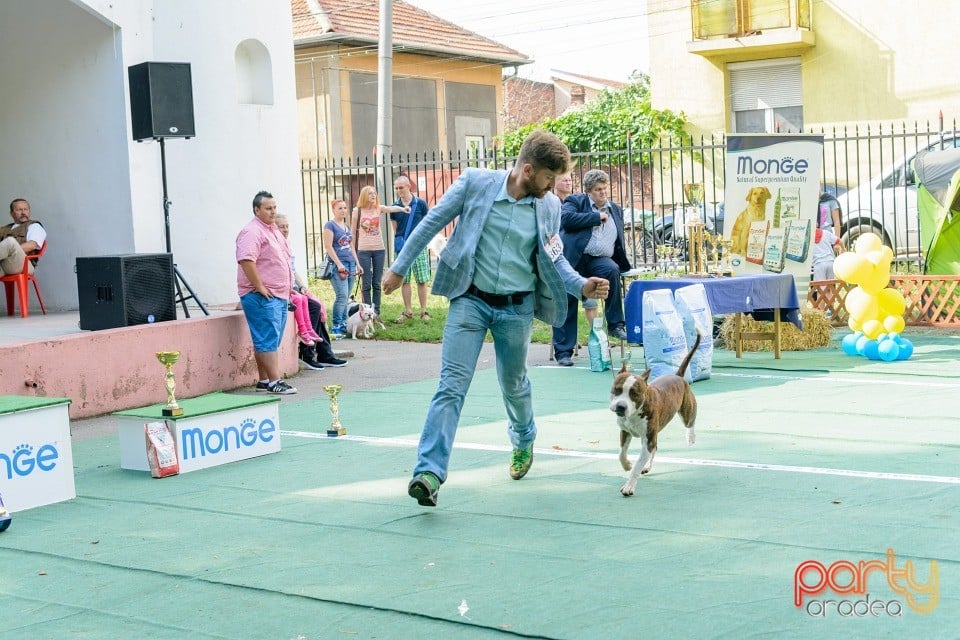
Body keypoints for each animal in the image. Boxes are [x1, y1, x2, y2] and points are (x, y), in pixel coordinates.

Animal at [612, 332, 700, 498]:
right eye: (617, 390)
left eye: (634, 394)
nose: (620, 406)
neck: (634, 413)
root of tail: (678, 376)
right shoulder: (625, 432)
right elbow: (621, 453)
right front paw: (627, 465)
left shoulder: (648, 439)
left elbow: (636, 467)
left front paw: (629, 486)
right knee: (654, 448)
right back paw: (646, 466)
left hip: (687, 409)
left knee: (690, 421)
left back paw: (690, 437)